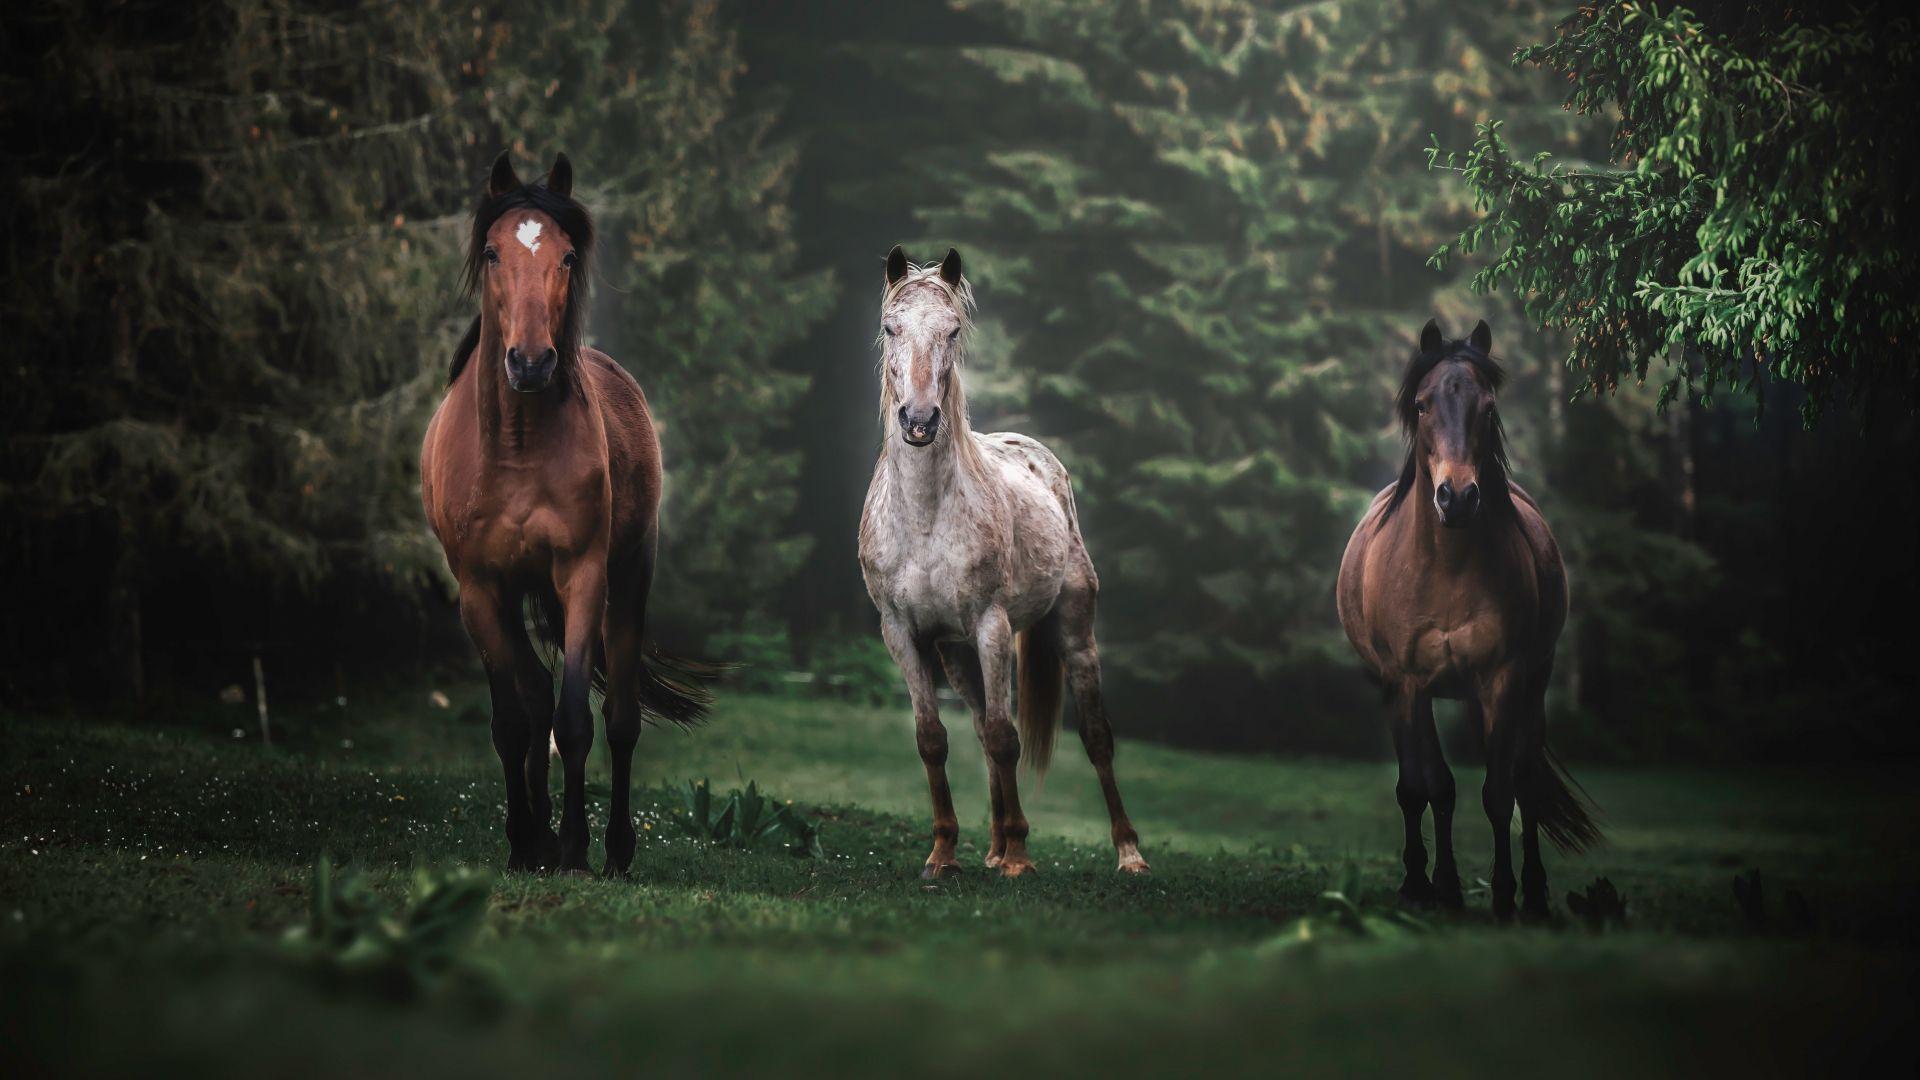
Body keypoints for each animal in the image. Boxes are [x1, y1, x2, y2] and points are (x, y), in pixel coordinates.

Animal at [421, 151, 712, 877]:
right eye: (492, 252)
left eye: (567, 256)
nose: (530, 362)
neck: (518, 446)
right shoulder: (480, 590)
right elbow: (513, 721)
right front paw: (526, 842)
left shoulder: (582, 577)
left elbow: (576, 718)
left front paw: (577, 848)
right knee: (532, 693)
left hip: (629, 578)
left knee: (620, 717)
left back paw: (613, 849)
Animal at [858, 246, 1149, 879]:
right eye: (890, 328)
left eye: (952, 329)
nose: (919, 421)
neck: (925, 516)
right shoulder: (903, 633)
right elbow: (934, 738)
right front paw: (944, 854)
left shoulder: (991, 626)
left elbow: (1004, 736)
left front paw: (1019, 855)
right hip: (957, 654)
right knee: (975, 728)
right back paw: (989, 848)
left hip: (1072, 633)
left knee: (1094, 736)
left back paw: (1127, 853)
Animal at [1336, 318, 1598, 920]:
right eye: (1423, 404)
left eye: (1487, 405)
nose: (1456, 497)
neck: (1446, 566)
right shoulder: (1407, 685)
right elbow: (1423, 787)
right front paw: (1426, 885)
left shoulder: (1502, 678)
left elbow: (1500, 793)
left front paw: (1503, 893)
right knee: (1441, 785)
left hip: (1531, 684)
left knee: (1524, 777)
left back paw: (1534, 893)